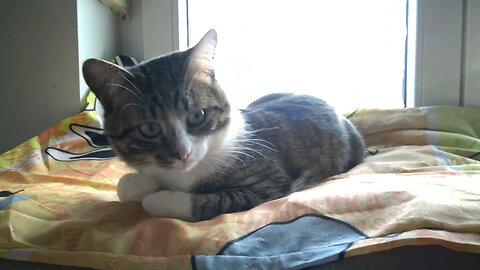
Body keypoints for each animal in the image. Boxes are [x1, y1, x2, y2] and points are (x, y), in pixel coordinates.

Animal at [82, 29, 366, 221]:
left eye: (198, 115)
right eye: (149, 129)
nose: (183, 154)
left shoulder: (269, 184)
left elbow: (211, 201)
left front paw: (157, 196)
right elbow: (124, 185)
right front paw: (144, 183)